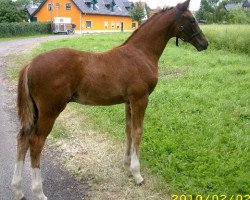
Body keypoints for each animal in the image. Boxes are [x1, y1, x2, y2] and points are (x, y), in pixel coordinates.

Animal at [11, 0, 207, 199]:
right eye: (192, 19)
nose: (204, 43)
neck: (141, 53)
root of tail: (30, 64)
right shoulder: (140, 99)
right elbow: (138, 132)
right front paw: (137, 174)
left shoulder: (128, 102)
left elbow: (128, 131)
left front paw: (127, 166)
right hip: (50, 110)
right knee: (36, 142)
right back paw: (38, 191)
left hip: (36, 111)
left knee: (23, 138)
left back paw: (18, 189)